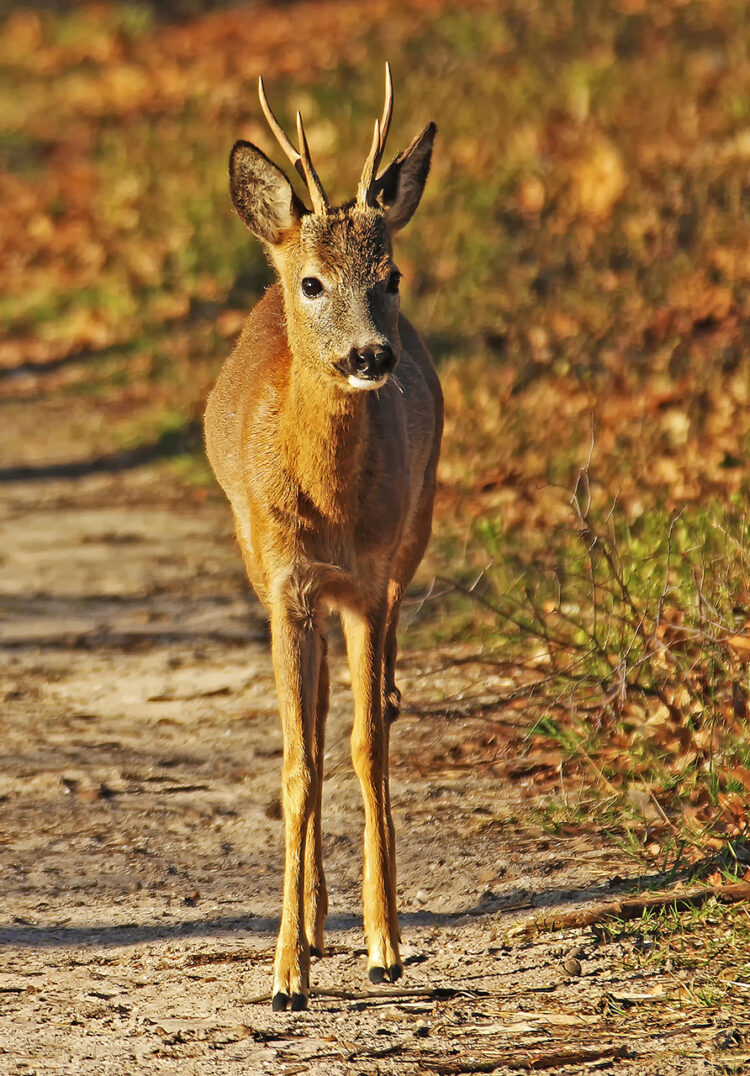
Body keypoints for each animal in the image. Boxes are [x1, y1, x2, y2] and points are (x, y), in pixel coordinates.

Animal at [202, 65, 441, 1007]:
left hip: (408, 547)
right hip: (262, 567)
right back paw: (307, 923)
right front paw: (284, 974)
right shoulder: (284, 582)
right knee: (307, 719)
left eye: (393, 273)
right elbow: (297, 764)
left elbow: (368, 746)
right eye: (313, 282)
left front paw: (387, 944)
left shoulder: (371, 583)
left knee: (356, 712)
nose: (373, 356)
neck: (331, 510)